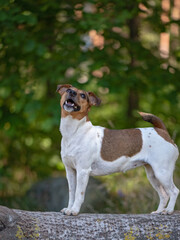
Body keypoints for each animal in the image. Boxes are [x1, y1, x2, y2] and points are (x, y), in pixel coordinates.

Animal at [56, 84, 179, 216]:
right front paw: (69, 208)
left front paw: (74, 210)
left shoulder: (82, 171)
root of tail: (161, 131)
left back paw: (169, 210)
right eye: (69, 90)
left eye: (83, 95)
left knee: (174, 191)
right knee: (164, 195)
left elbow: (79, 194)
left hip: (162, 173)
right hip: (153, 175)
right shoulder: (70, 171)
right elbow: (71, 194)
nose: (72, 93)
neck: (75, 131)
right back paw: (159, 211)